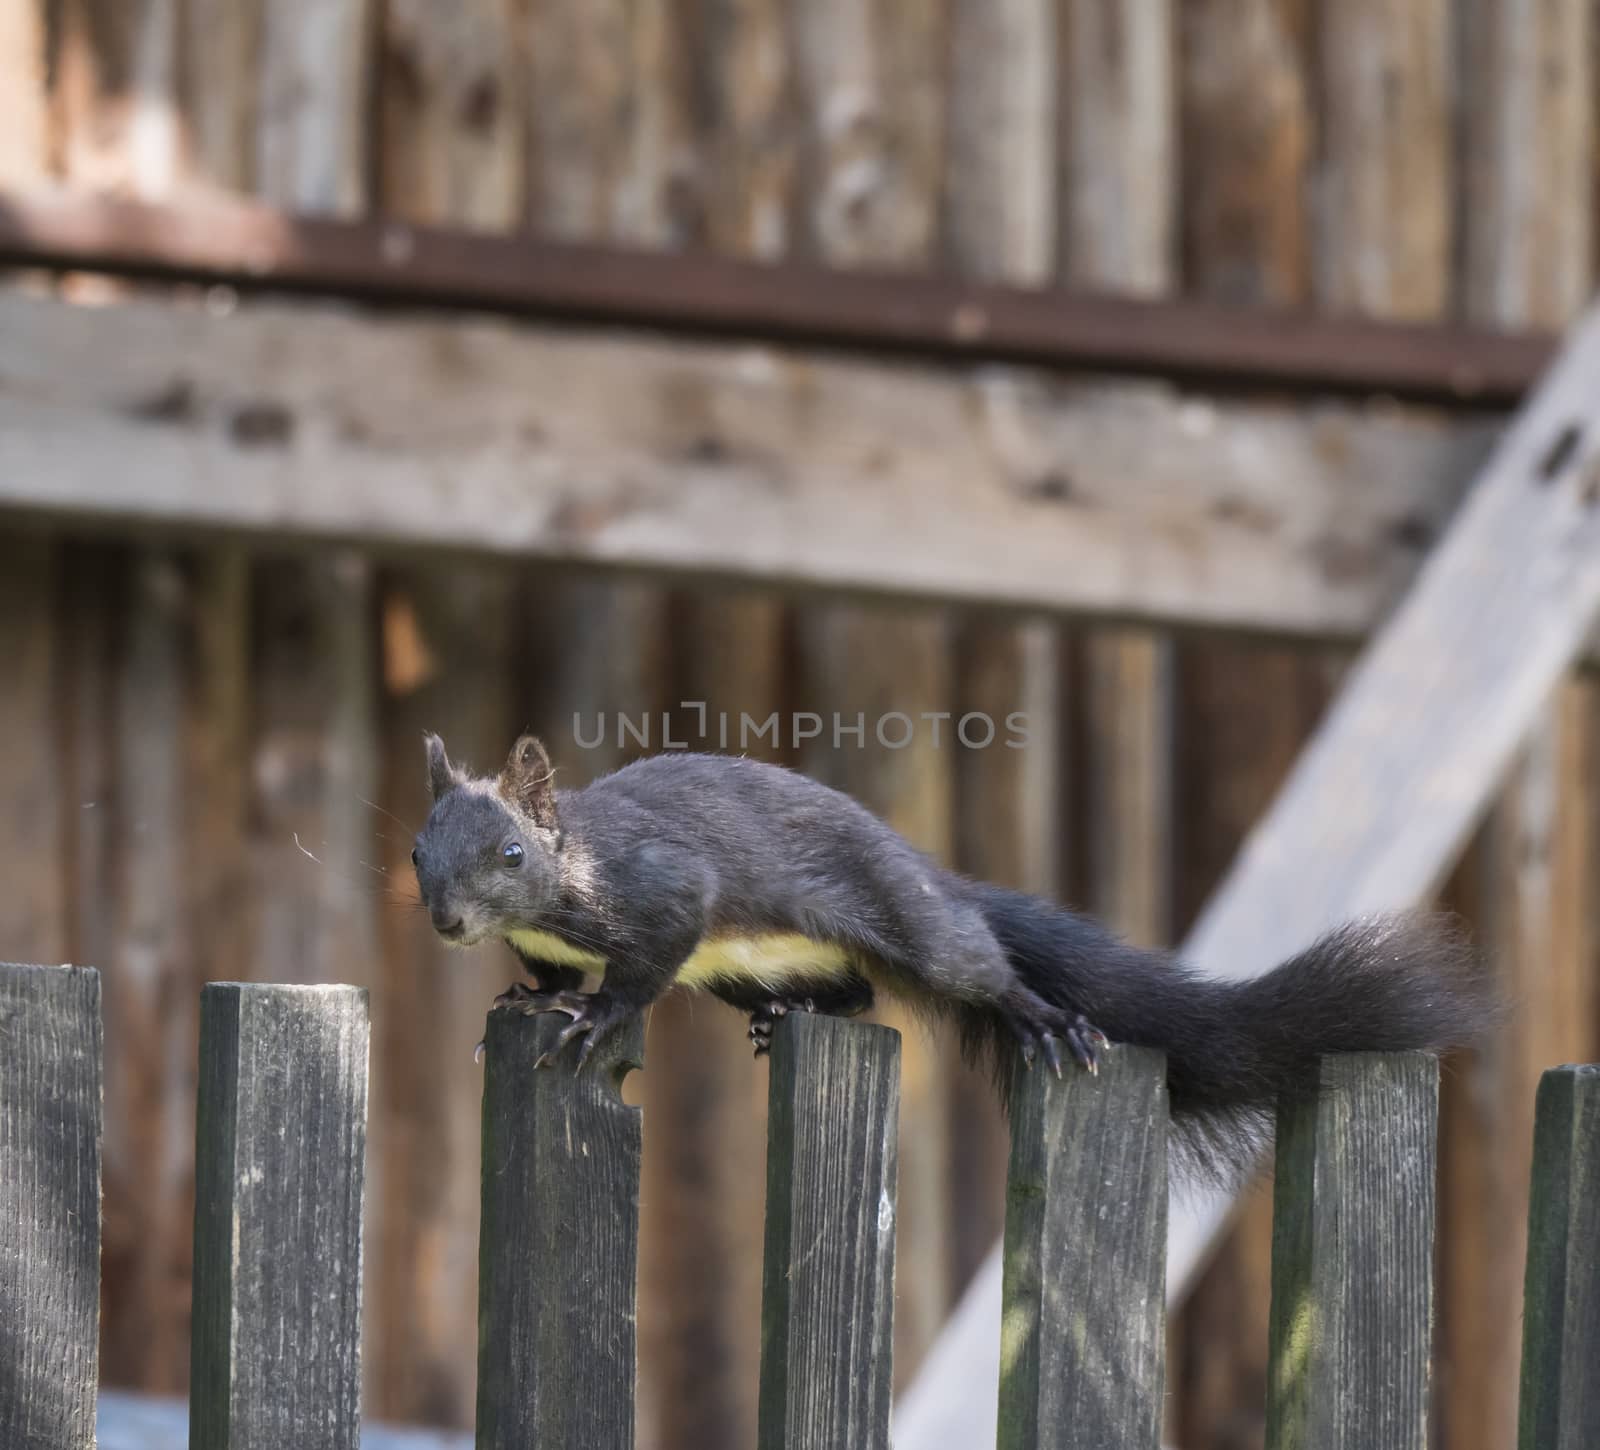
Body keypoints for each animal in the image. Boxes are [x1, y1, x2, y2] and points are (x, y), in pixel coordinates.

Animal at [409, 736, 1484, 1177]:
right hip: (754, 966)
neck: (576, 867)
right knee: (848, 993)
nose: (447, 923)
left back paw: (1044, 1020)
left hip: (917, 928)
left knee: (979, 970)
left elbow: (638, 972)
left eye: (512, 853)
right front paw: (524, 996)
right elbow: (550, 973)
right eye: (416, 850)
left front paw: (594, 1017)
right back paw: (790, 1017)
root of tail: (932, 873)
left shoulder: (668, 890)